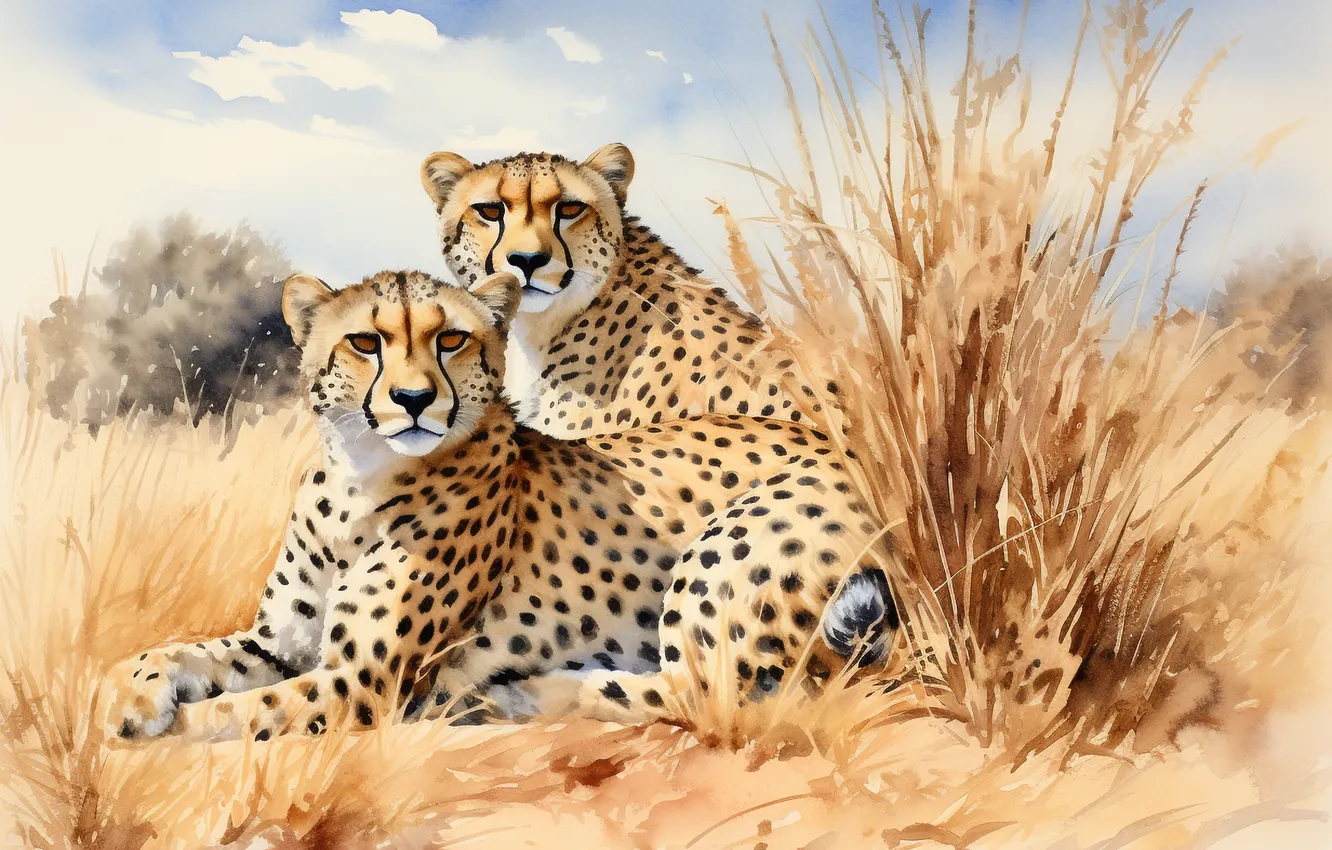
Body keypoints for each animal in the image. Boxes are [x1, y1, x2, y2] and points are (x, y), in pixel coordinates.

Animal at [100, 270, 897, 743]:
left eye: (452, 338)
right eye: (365, 341)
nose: (413, 399)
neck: (359, 481)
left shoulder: (360, 686)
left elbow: (237, 713)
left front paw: (163, 725)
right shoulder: (278, 645)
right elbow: (173, 652)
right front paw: (128, 698)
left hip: (721, 553)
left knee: (705, 694)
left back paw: (530, 695)